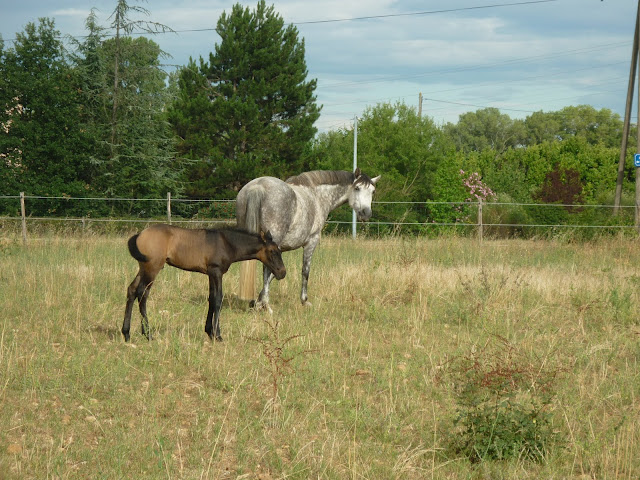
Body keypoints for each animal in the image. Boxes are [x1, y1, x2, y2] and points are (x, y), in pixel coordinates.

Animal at [236, 169, 380, 312]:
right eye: (357, 188)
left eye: (373, 191)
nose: (366, 213)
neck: (317, 196)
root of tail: (258, 186)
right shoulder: (311, 242)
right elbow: (305, 270)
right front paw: (304, 301)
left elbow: (275, 273)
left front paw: (257, 302)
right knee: (266, 269)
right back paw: (267, 306)